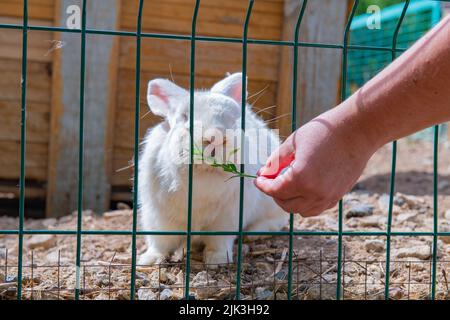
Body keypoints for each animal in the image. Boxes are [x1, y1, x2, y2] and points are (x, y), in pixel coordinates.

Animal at [138, 72, 288, 264]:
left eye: (233, 118)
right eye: (185, 117)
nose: (215, 136)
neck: (204, 176)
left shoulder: (226, 219)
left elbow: (219, 241)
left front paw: (217, 260)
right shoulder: (158, 217)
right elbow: (160, 242)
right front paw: (148, 260)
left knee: (277, 221)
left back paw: (254, 233)